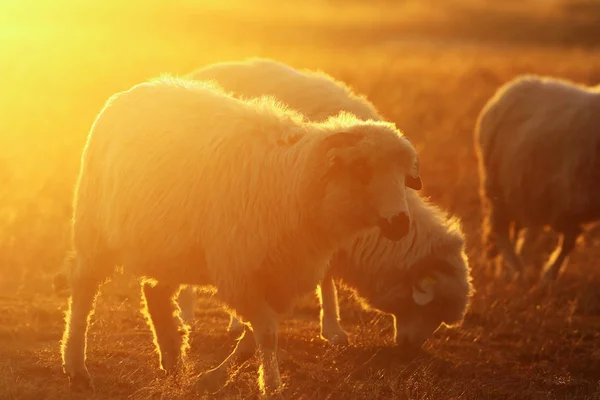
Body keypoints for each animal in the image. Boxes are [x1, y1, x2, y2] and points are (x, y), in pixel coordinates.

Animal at [58, 76, 420, 396]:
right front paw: (271, 386)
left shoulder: (278, 281)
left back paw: (173, 362)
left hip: (170, 247)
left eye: (404, 176)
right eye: (361, 169)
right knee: (83, 289)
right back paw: (76, 367)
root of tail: (138, 89)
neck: (293, 182)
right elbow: (267, 334)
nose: (400, 223)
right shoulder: (239, 275)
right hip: (94, 230)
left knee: (155, 293)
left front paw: (212, 379)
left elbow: (252, 339)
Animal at [474, 75, 600, 282]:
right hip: (497, 187)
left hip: (523, 193)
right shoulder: (568, 200)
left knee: (519, 231)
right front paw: (548, 277)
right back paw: (518, 271)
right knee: (500, 231)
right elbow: (568, 241)